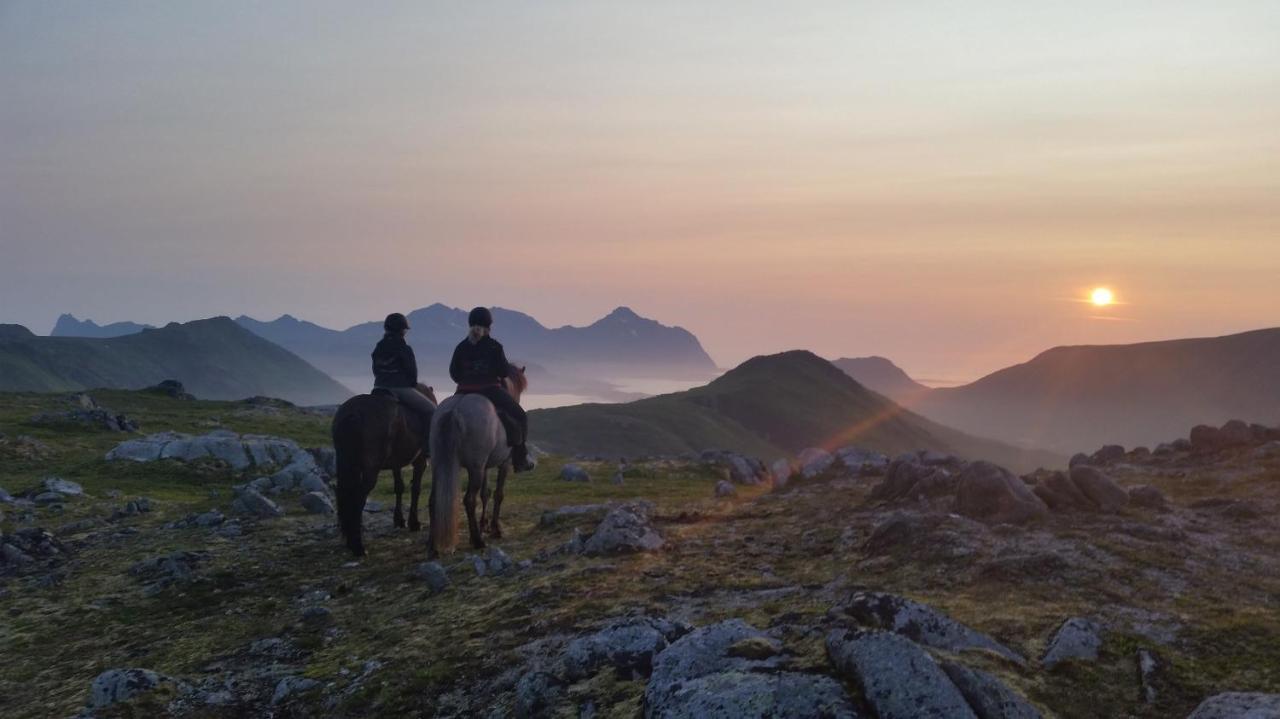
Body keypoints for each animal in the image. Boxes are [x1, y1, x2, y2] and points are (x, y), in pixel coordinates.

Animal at [332, 381, 437, 555]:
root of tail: (353, 414)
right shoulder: (421, 460)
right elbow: (415, 488)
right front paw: (414, 522)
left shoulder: (396, 463)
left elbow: (399, 487)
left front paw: (399, 520)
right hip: (370, 470)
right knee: (358, 499)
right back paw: (358, 546)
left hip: (346, 464)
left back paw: (350, 540)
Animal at [430, 363, 529, 555]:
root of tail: (455, 410)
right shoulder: (503, 463)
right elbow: (498, 494)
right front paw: (495, 529)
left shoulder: (485, 466)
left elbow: (485, 493)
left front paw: (484, 525)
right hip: (474, 468)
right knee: (469, 499)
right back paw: (477, 541)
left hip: (439, 465)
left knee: (433, 500)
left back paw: (432, 546)